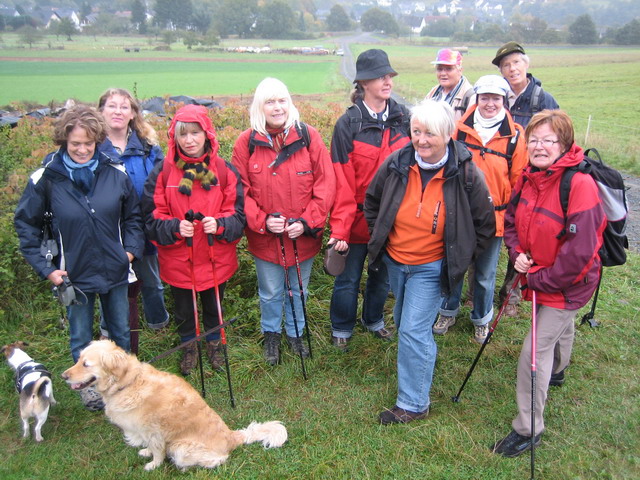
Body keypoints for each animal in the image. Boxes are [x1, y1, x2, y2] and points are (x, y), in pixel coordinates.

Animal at [61, 340, 286, 470]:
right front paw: (146, 453)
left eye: (86, 364)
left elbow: (158, 451)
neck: (128, 382)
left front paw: (153, 464)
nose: (63, 376)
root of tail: (233, 436)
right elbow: (150, 446)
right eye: (78, 359)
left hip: (181, 447)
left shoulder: (154, 430)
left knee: (220, 459)